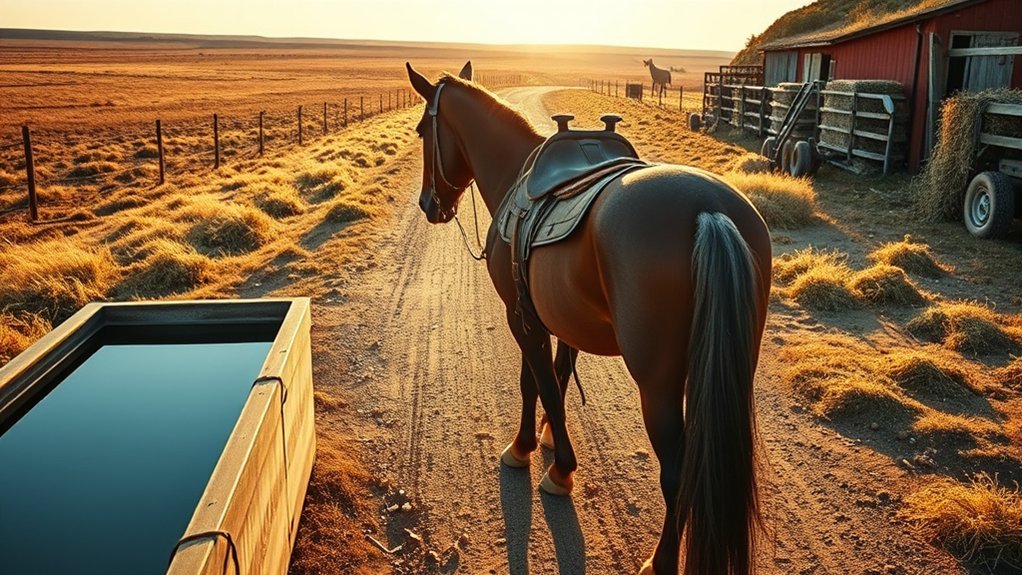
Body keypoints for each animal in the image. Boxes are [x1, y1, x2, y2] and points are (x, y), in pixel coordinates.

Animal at [405, 60, 771, 575]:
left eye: (422, 129)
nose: (427, 204)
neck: (517, 173)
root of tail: (710, 213)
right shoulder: (559, 318)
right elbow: (557, 378)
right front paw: (547, 441)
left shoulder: (522, 317)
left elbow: (535, 384)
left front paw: (541, 458)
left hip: (659, 384)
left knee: (678, 472)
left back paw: (659, 561)